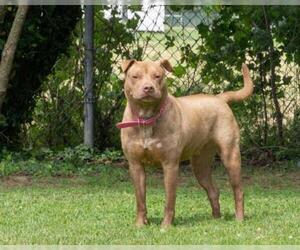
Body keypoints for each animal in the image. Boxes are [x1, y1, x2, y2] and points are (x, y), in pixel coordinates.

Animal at [116, 59, 253, 228]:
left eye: (157, 76)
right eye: (135, 76)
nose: (148, 88)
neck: (146, 118)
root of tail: (219, 98)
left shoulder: (170, 165)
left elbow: (169, 201)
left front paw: (166, 226)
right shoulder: (135, 165)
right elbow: (140, 200)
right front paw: (140, 224)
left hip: (231, 155)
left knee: (238, 190)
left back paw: (239, 218)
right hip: (200, 165)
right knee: (213, 190)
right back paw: (216, 218)